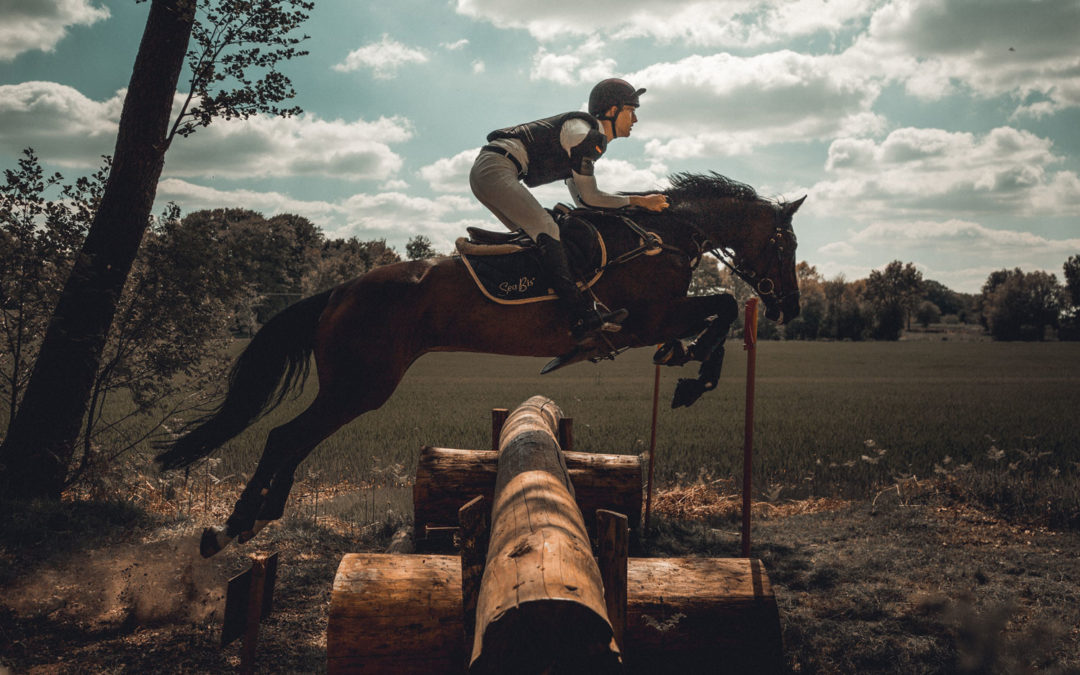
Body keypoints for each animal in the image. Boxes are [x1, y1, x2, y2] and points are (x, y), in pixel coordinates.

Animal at [157, 170, 803, 557]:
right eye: (787, 244)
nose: (791, 308)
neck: (663, 234)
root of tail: (339, 290)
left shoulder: (657, 319)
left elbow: (719, 311)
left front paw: (687, 363)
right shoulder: (650, 318)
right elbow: (721, 307)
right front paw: (692, 375)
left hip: (353, 386)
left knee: (289, 439)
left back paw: (254, 518)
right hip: (361, 385)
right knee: (286, 436)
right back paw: (234, 526)